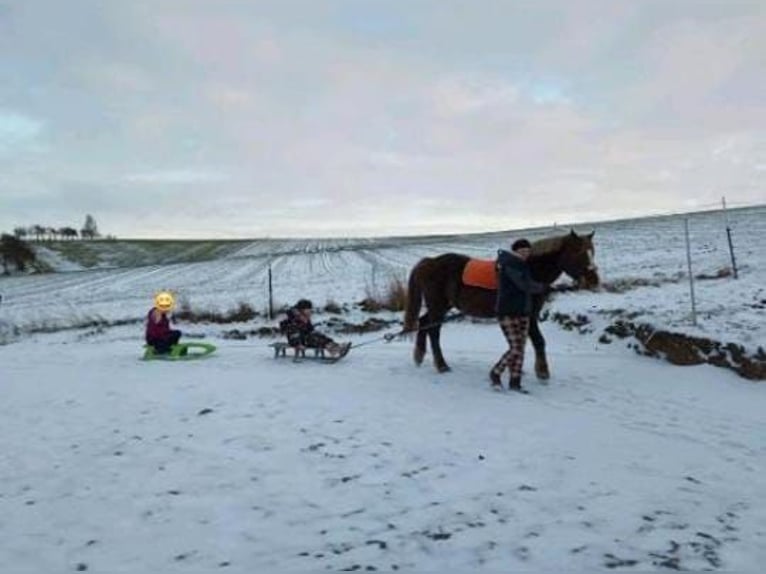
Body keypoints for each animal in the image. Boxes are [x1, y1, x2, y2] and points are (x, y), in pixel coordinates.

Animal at [403, 230, 599, 377]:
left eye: (592, 252)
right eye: (578, 252)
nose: (594, 281)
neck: (529, 272)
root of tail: (430, 262)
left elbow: (522, 342)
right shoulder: (529, 316)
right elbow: (538, 341)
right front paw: (542, 372)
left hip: (441, 306)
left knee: (424, 322)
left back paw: (419, 356)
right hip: (438, 306)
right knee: (433, 331)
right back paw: (441, 365)